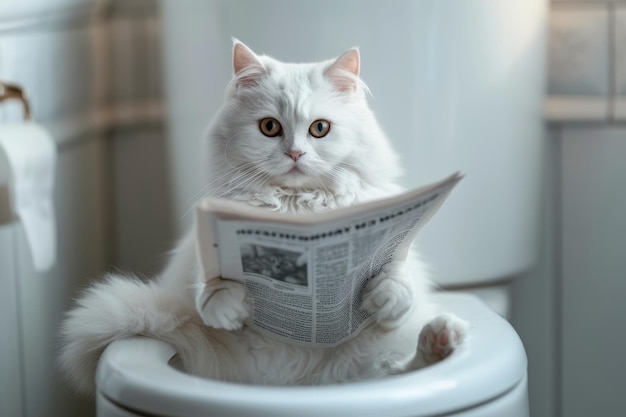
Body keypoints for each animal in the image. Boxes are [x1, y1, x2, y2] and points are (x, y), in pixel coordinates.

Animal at [59, 41, 468, 394]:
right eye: (270, 127)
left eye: (320, 128)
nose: (295, 154)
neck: (297, 209)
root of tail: (304, 387)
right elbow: (211, 293)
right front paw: (229, 305)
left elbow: (396, 285)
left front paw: (381, 294)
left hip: (373, 365)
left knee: (401, 367)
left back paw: (441, 338)